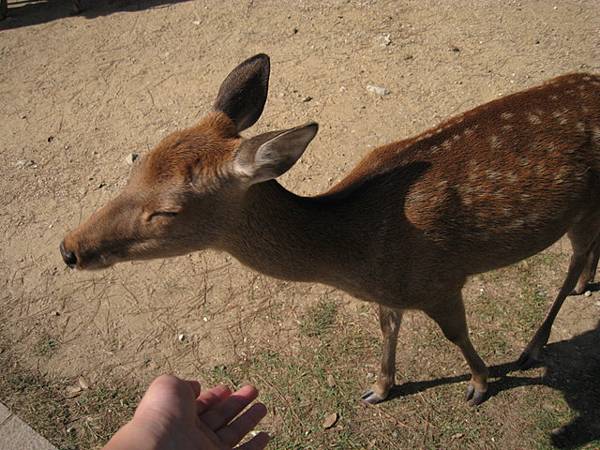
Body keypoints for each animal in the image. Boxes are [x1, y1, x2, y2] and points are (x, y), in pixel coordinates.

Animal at [58, 54, 596, 406]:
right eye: (137, 165)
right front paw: (379, 389)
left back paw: (534, 344)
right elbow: (388, 325)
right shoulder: (392, 290)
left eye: (167, 211)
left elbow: (455, 334)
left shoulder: (441, 279)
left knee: (573, 259)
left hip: (584, 206)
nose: (69, 249)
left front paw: (480, 385)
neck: (357, 254)